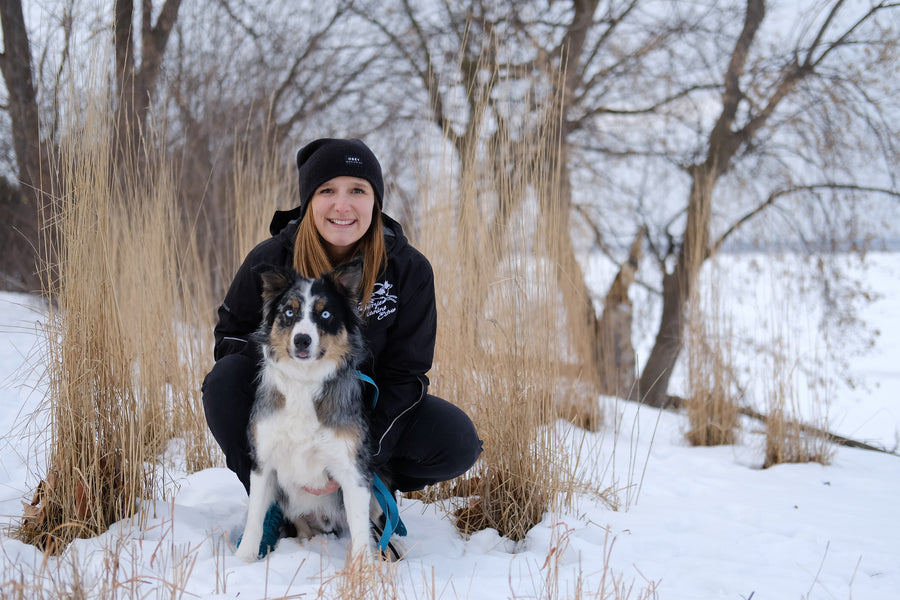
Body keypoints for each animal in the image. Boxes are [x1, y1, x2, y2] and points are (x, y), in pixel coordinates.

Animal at [236, 262, 376, 564]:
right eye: (289, 312)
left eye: (325, 314)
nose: (302, 340)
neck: (304, 381)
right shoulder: (263, 461)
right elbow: (254, 517)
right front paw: (243, 559)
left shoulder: (353, 470)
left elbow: (361, 530)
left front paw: (364, 570)